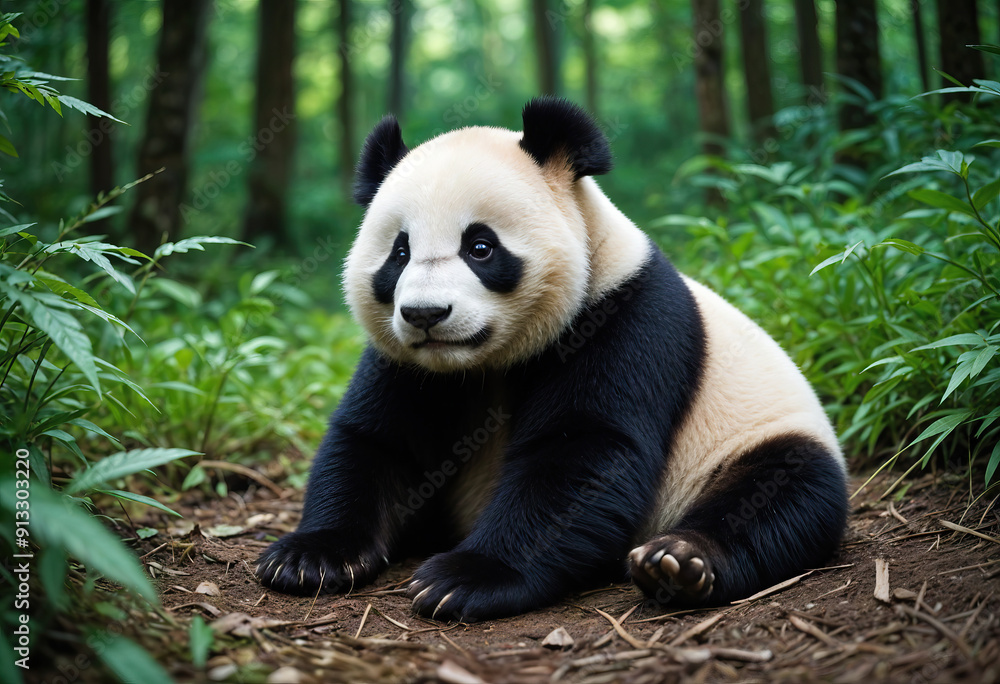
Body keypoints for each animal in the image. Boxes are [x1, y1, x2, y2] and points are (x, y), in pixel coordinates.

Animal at [256, 97, 848, 621]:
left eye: (480, 247)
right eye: (398, 253)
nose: (425, 313)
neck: (482, 363)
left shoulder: (625, 317)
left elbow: (578, 450)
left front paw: (465, 578)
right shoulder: (407, 364)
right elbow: (378, 441)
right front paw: (309, 557)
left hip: (758, 435)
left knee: (782, 491)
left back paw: (679, 560)